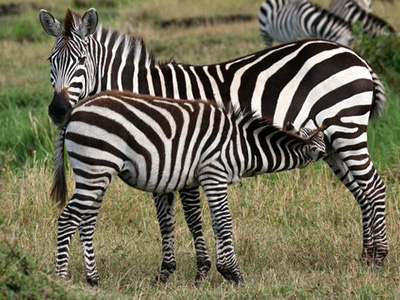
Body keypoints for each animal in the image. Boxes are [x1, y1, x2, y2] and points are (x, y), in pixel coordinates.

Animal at [52, 90, 328, 284]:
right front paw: (234, 274)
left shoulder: (202, 178)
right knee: (68, 219)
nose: (332, 157)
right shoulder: (214, 172)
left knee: (86, 222)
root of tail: (75, 111)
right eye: (326, 143)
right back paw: (61, 279)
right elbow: (224, 222)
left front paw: (220, 271)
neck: (242, 144)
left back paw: (93, 280)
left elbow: (211, 223)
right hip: (95, 167)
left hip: (95, 173)